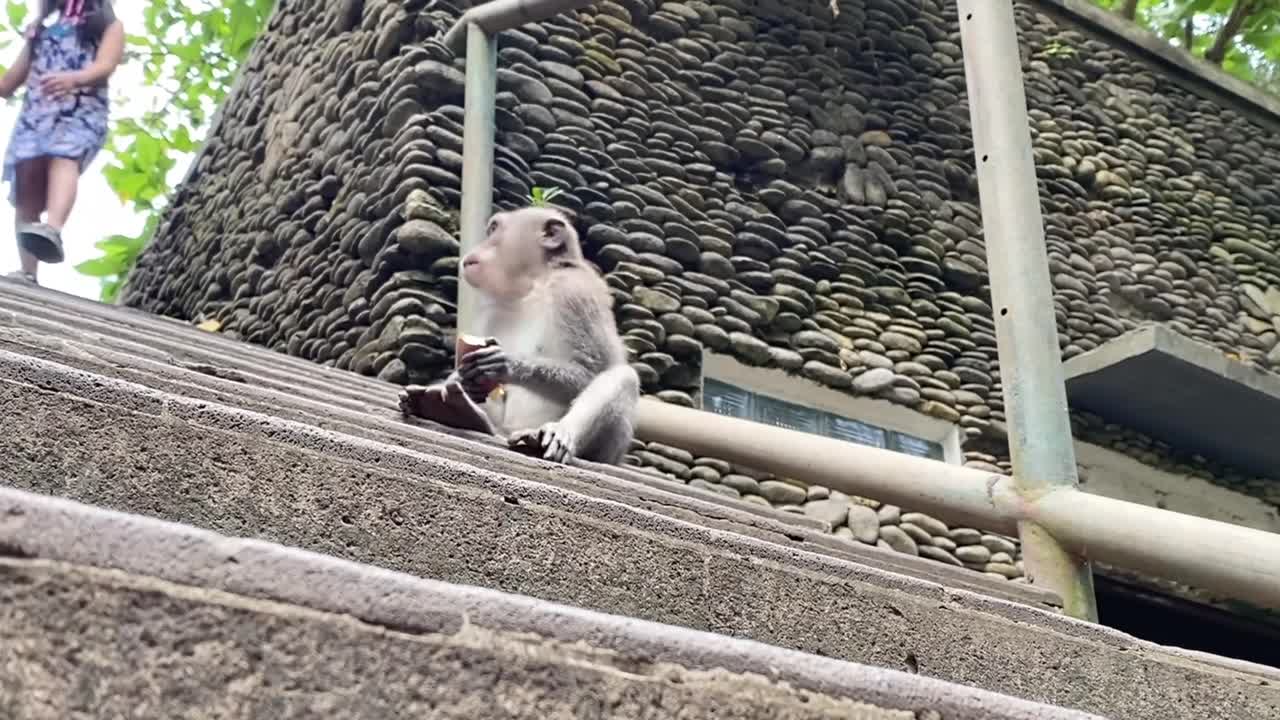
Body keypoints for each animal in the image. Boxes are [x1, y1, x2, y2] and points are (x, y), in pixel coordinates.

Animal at [398, 205, 640, 465]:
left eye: (494, 229)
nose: (479, 245)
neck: (533, 284)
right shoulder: (492, 311)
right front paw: (464, 380)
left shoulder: (574, 293)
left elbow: (590, 370)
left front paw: (507, 364)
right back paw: (460, 412)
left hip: (609, 451)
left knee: (624, 377)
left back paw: (555, 433)